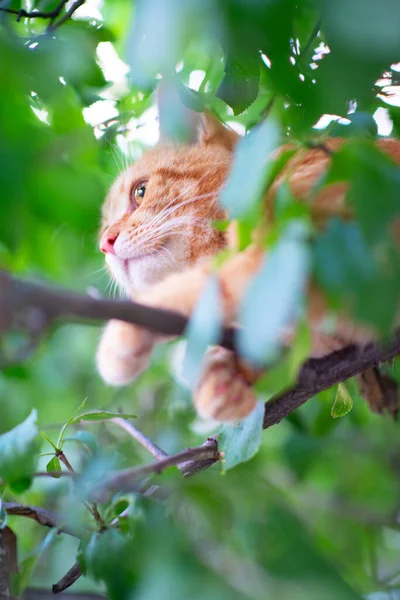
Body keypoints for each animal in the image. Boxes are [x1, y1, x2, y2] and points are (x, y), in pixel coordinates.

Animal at [96, 110, 400, 424]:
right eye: (104, 228)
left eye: (140, 191)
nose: (105, 244)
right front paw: (226, 376)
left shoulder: (302, 254)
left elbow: (210, 285)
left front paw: (126, 330)